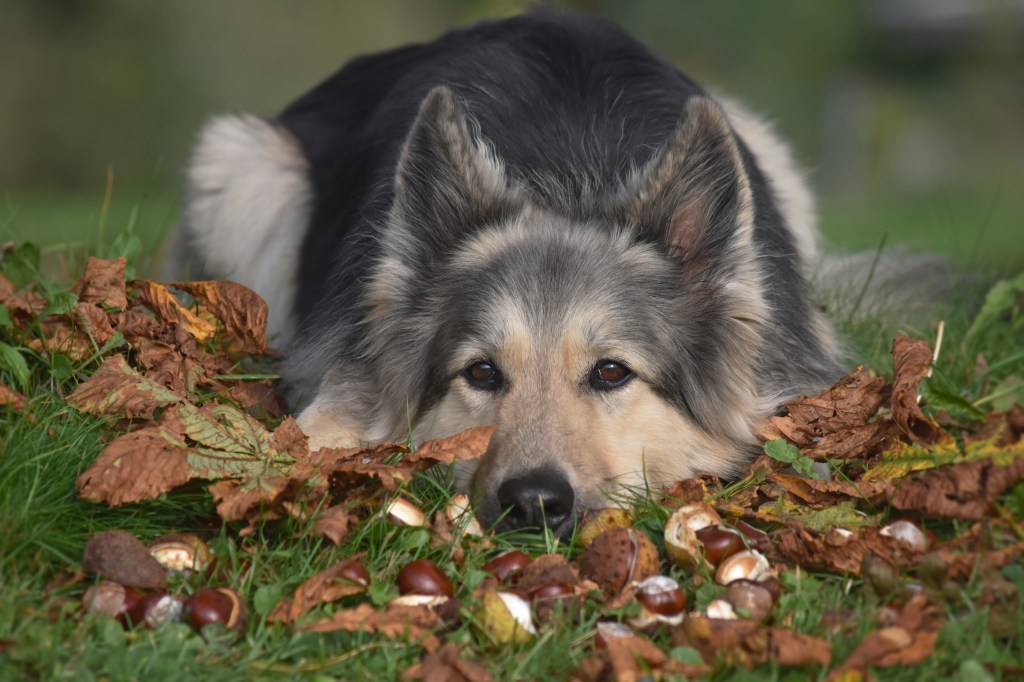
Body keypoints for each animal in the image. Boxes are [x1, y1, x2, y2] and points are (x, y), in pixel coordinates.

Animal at [174, 6, 847, 536]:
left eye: (610, 372)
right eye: (482, 372)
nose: (534, 503)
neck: (570, 178)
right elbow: (308, 440)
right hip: (243, 168)